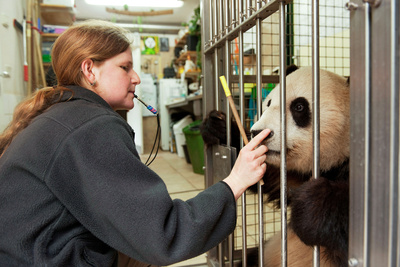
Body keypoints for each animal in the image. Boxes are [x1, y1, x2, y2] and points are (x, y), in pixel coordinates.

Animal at [202, 65, 348, 267]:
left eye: (299, 107)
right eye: (269, 103)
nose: (257, 132)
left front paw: (312, 204)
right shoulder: (293, 174)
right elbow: (272, 178)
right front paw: (218, 126)